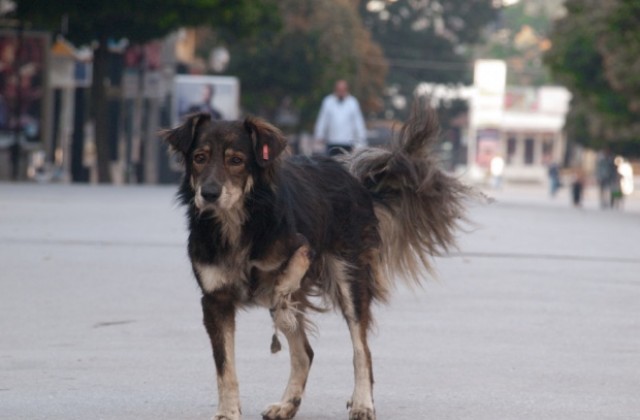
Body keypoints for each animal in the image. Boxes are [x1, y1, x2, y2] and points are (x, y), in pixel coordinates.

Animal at [160, 108, 470, 420]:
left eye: (236, 160)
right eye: (199, 157)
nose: (209, 194)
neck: (236, 223)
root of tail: (353, 179)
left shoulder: (304, 246)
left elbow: (289, 271)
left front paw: (279, 288)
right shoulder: (215, 300)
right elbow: (225, 367)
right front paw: (227, 411)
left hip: (349, 277)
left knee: (361, 349)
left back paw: (362, 402)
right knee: (304, 353)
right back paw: (288, 403)